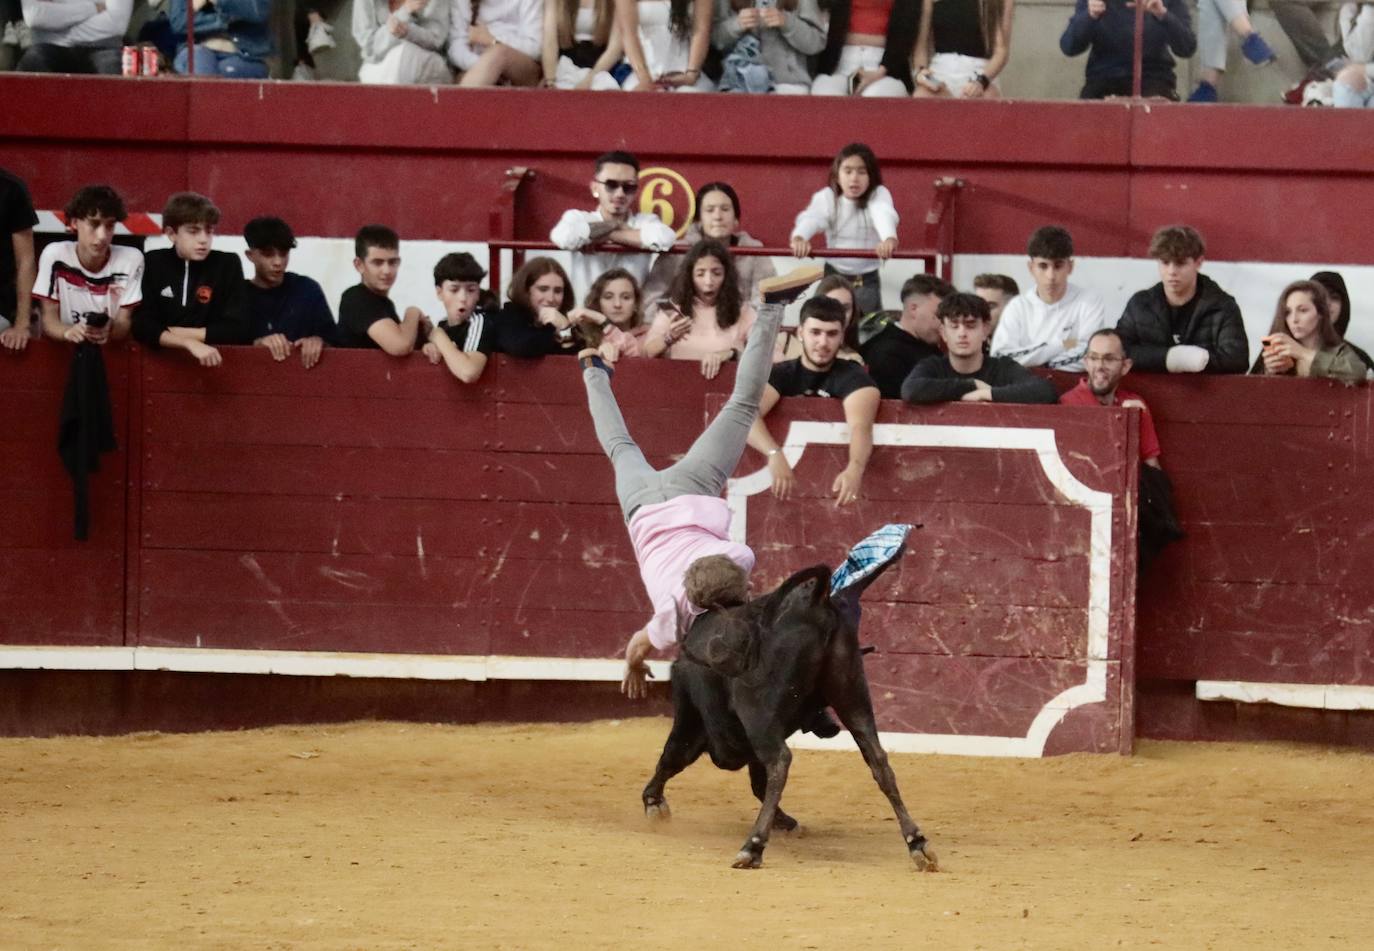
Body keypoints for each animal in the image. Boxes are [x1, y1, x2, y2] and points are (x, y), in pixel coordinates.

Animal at [640, 560, 939, 874]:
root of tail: (815, 601)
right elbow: (756, 779)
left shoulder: (693, 716)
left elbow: (673, 757)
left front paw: (653, 802)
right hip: (853, 697)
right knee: (878, 760)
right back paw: (917, 843)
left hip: (757, 715)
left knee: (779, 762)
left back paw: (753, 846)